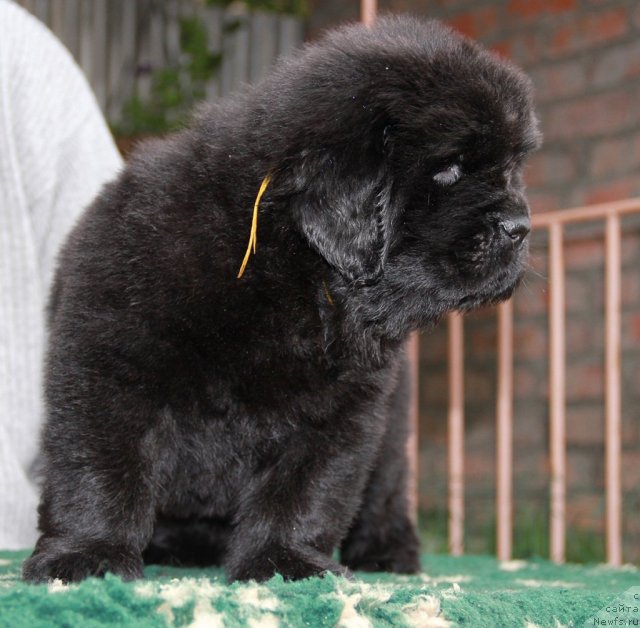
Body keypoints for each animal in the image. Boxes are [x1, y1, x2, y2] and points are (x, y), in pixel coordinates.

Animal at [22, 14, 540, 584]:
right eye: (449, 169)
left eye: (511, 169)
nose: (521, 227)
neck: (289, 269)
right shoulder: (107, 364)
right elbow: (99, 470)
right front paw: (88, 556)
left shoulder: (342, 411)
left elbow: (306, 491)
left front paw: (283, 562)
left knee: (386, 488)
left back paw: (388, 552)